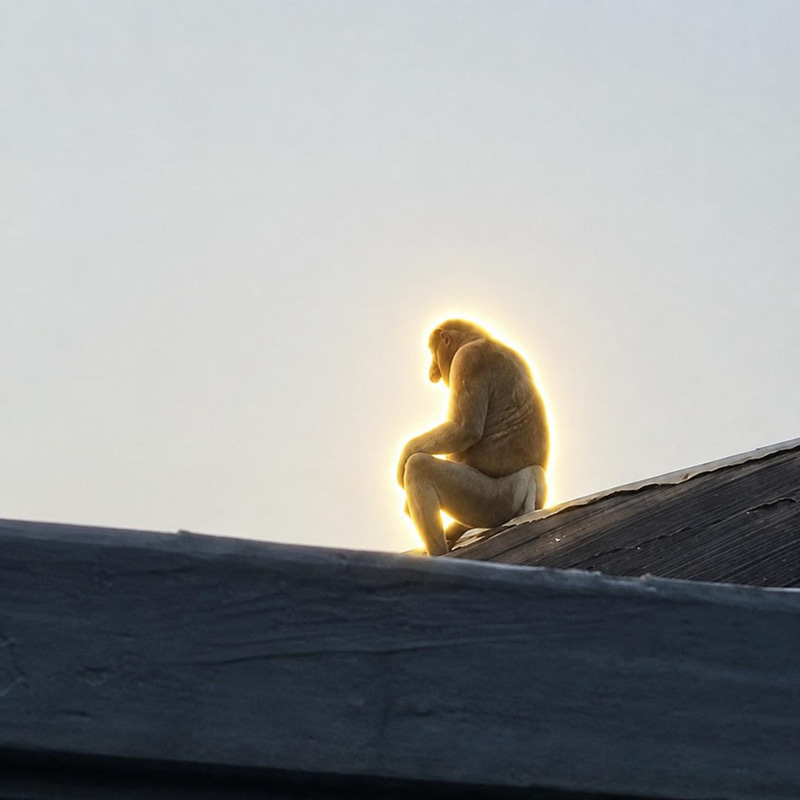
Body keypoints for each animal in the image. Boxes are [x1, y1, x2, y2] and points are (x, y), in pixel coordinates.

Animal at [397, 319, 549, 555]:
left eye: (433, 353)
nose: (432, 370)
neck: (481, 339)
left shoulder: (469, 358)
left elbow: (464, 429)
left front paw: (405, 455)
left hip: (496, 498)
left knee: (419, 466)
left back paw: (439, 552)